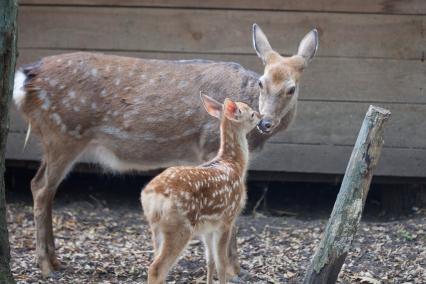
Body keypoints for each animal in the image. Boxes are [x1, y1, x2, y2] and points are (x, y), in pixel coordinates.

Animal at [12, 23, 316, 276]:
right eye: (262, 83)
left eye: (291, 88)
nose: (265, 122)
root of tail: (23, 80)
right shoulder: (208, 146)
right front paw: (234, 270)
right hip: (64, 132)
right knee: (41, 186)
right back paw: (46, 266)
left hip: (56, 137)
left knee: (43, 186)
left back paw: (55, 261)